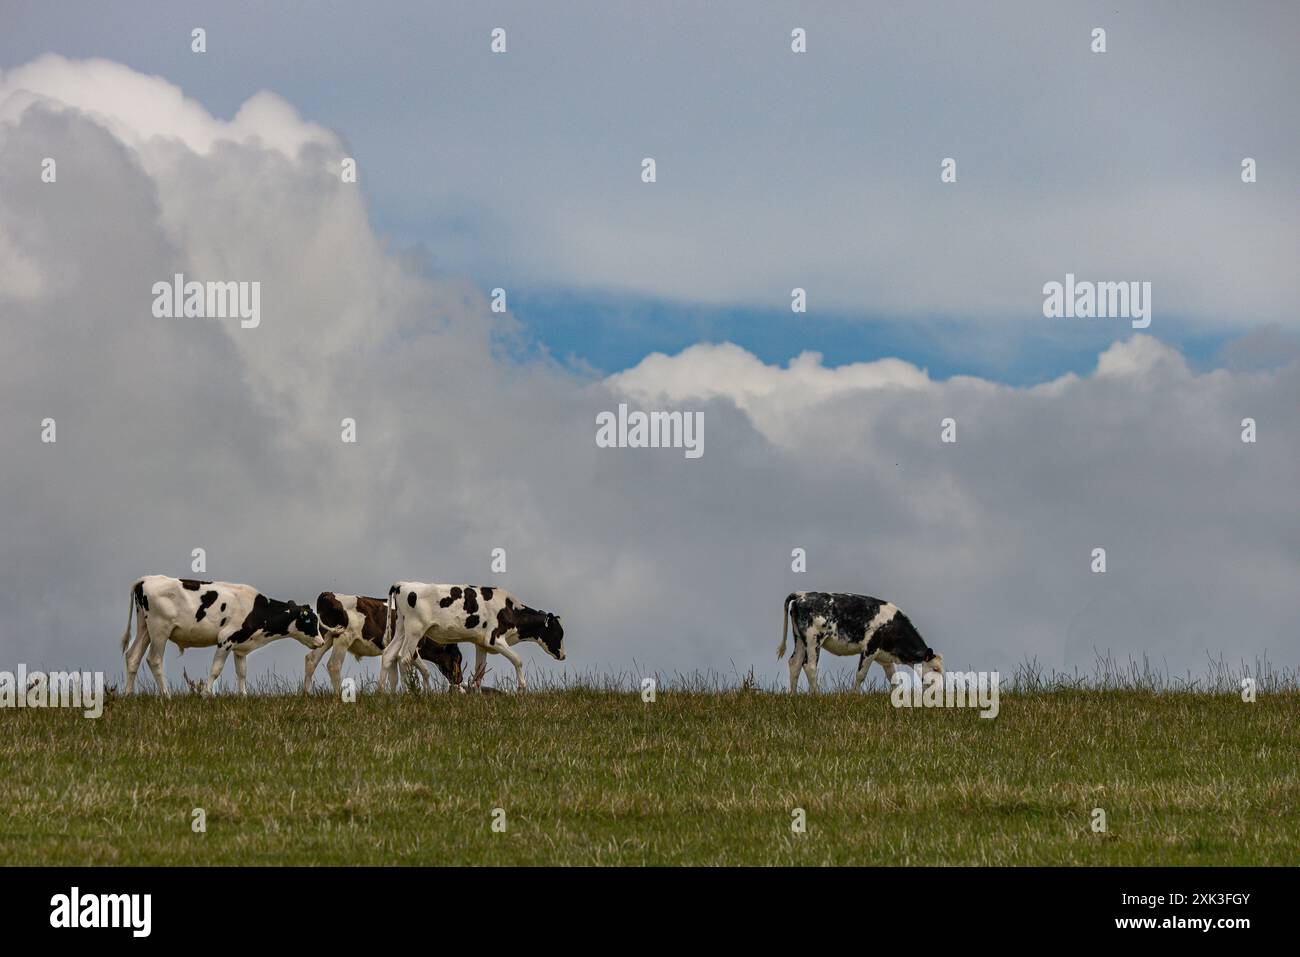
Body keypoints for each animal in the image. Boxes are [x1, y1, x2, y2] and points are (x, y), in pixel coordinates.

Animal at [121, 575, 323, 696]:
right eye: (310, 621)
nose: (321, 642)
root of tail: (147, 579)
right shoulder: (226, 639)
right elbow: (216, 669)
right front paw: (206, 694)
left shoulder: (240, 647)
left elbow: (242, 673)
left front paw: (243, 696)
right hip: (160, 629)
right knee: (154, 660)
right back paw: (166, 695)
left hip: (144, 628)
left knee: (132, 656)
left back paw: (129, 695)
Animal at [305, 592, 463, 693]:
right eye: (457, 658)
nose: (460, 679)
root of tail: (329, 594)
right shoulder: (413, 650)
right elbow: (425, 671)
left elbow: (394, 677)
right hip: (343, 638)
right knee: (334, 665)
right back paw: (338, 694)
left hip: (326, 636)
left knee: (311, 659)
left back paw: (306, 694)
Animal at [380, 583, 565, 692]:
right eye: (559, 632)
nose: (563, 655)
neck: (509, 609)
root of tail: (402, 584)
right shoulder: (494, 639)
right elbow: (517, 660)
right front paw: (522, 689)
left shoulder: (481, 644)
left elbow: (479, 673)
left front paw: (477, 696)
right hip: (415, 630)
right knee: (404, 658)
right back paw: (409, 693)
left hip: (402, 629)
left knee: (389, 654)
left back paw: (383, 693)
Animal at [779, 591, 943, 693]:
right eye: (935, 669)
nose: (940, 690)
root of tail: (803, 595)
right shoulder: (870, 648)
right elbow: (861, 674)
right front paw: (854, 695)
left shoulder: (885, 657)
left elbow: (894, 679)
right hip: (813, 640)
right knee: (809, 666)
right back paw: (817, 695)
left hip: (800, 640)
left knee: (794, 663)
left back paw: (793, 695)